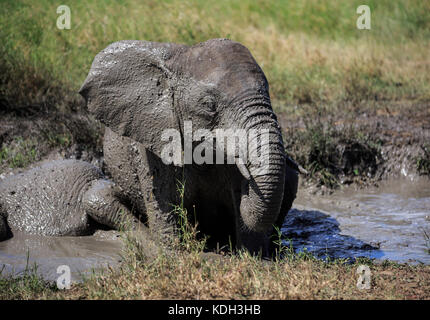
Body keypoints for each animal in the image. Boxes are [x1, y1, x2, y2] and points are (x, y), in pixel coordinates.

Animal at [79, 38, 298, 255]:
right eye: (209, 105)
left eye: (268, 93)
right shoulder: (151, 144)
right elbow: (161, 196)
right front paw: (171, 250)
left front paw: (254, 255)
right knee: (98, 197)